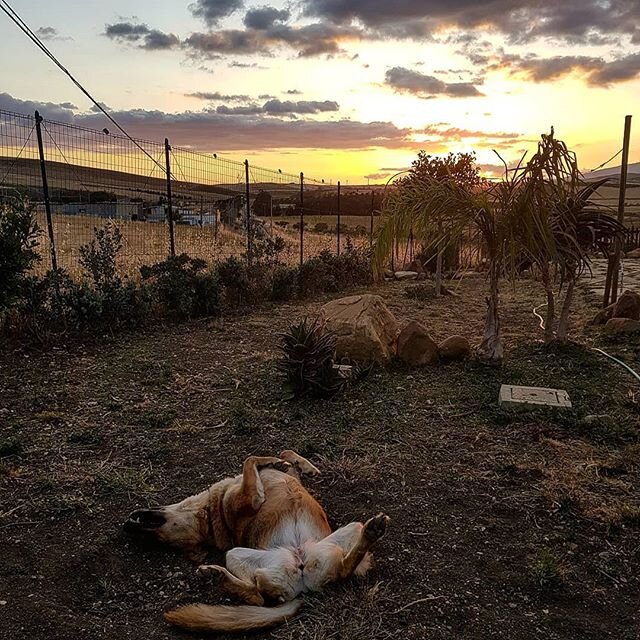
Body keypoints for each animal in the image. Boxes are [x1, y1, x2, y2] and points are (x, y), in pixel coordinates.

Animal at [122, 452, 388, 632]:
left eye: (159, 538)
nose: (127, 527)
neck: (212, 517)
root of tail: (302, 588)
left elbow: (284, 456)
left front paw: (300, 465)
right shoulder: (250, 498)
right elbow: (250, 459)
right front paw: (272, 461)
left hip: (346, 530)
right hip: (236, 554)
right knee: (260, 595)